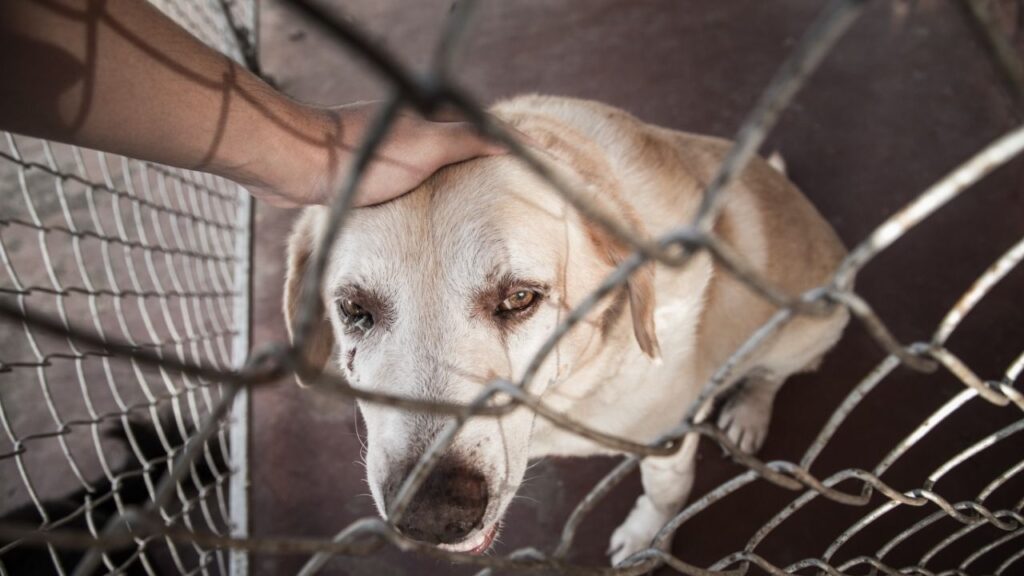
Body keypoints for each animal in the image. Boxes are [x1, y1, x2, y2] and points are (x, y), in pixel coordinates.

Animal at [282, 93, 847, 561]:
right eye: (354, 309)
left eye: (520, 298)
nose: (433, 514)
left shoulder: (668, 441)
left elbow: (665, 495)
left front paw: (645, 537)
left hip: (810, 328)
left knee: (774, 373)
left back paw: (749, 411)